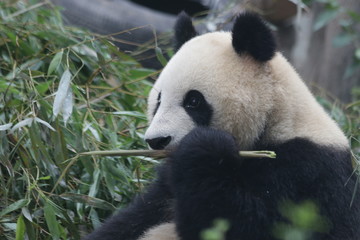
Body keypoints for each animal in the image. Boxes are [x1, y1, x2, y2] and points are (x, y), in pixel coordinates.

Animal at [85, 11, 360, 240]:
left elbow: (250, 225)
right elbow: (133, 219)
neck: (277, 119)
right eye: (158, 101)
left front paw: (204, 148)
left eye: (193, 101)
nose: (157, 141)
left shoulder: (308, 172)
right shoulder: (166, 187)